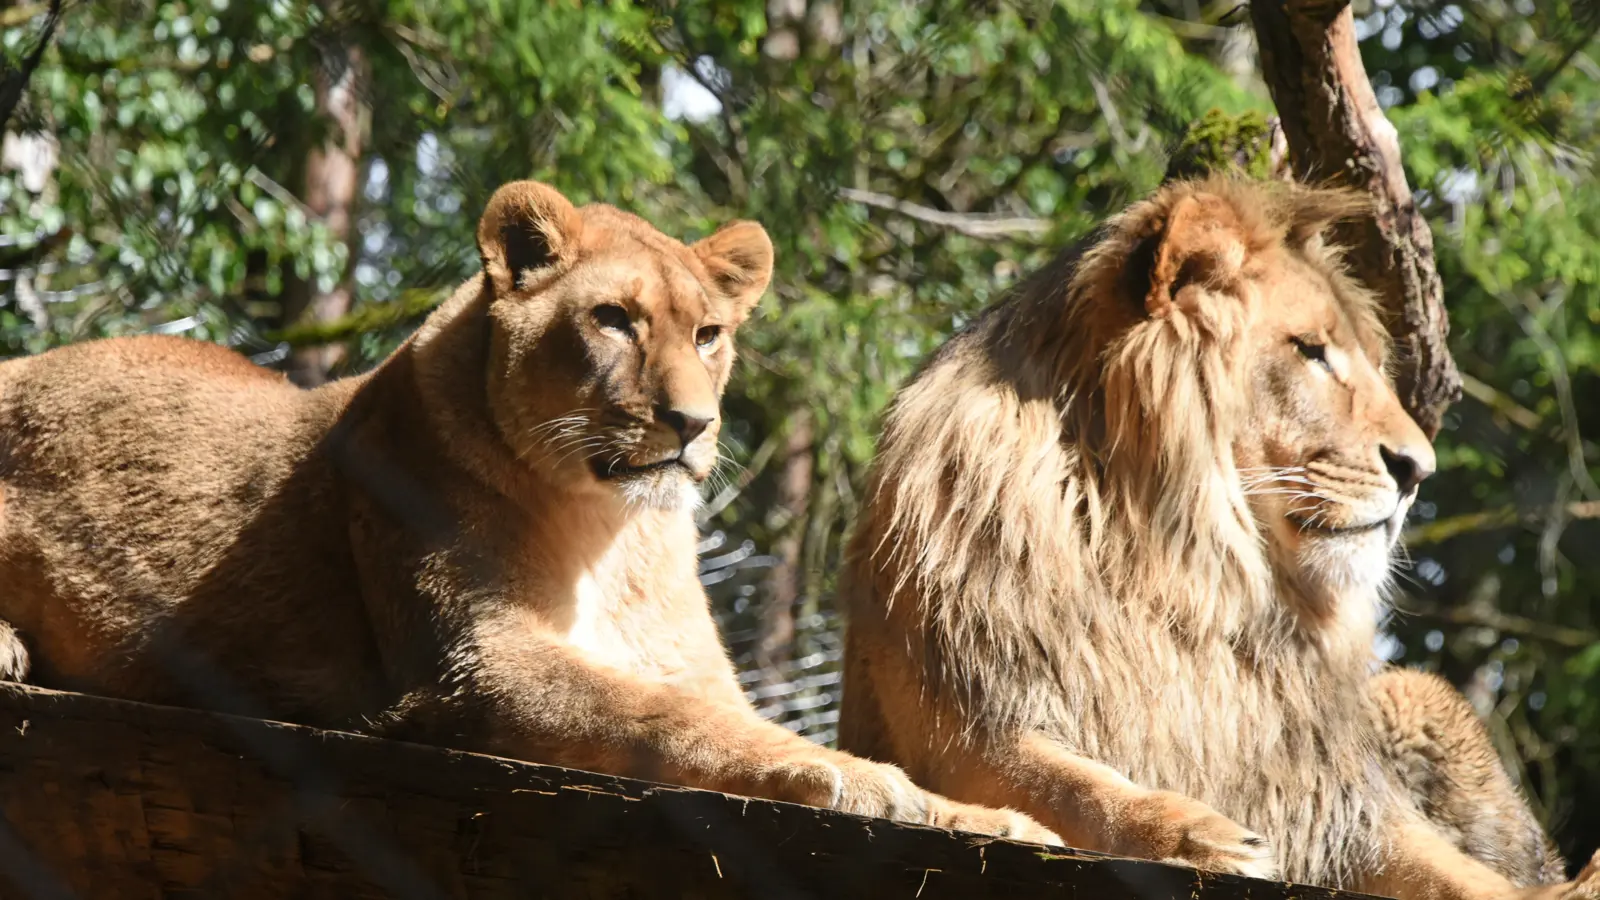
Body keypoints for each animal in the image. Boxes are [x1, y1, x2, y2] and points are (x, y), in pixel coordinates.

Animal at [0, 179, 1055, 843]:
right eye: (615, 320)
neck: (611, 530)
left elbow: (728, 716)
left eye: (709, 334)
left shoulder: (685, 665)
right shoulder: (472, 669)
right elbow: (666, 716)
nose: (693, 423)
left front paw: (989, 817)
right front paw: (866, 782)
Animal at [837, 175, 1598, 897]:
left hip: (1411, 692)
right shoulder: (965, 725)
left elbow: (1459, 875)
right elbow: (1071, 785)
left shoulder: (1335, 804)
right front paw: (1196, 834)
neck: (1181, 566)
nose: (1418, 470)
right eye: (1311, 351)